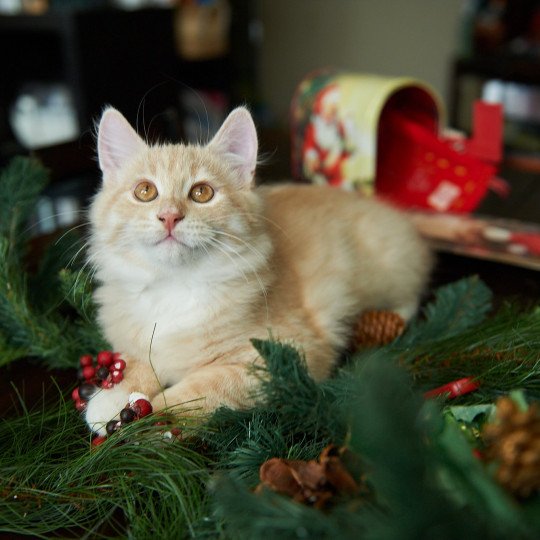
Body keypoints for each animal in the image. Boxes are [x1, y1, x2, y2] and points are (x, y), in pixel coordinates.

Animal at [84, 105, 432, 434]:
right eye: (145, 191)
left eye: (201, 193)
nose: (169, 216)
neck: (176, 286)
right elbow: (137, 361)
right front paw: (111, 398)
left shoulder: (286, 356)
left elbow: (200, 390)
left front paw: (149, 420)